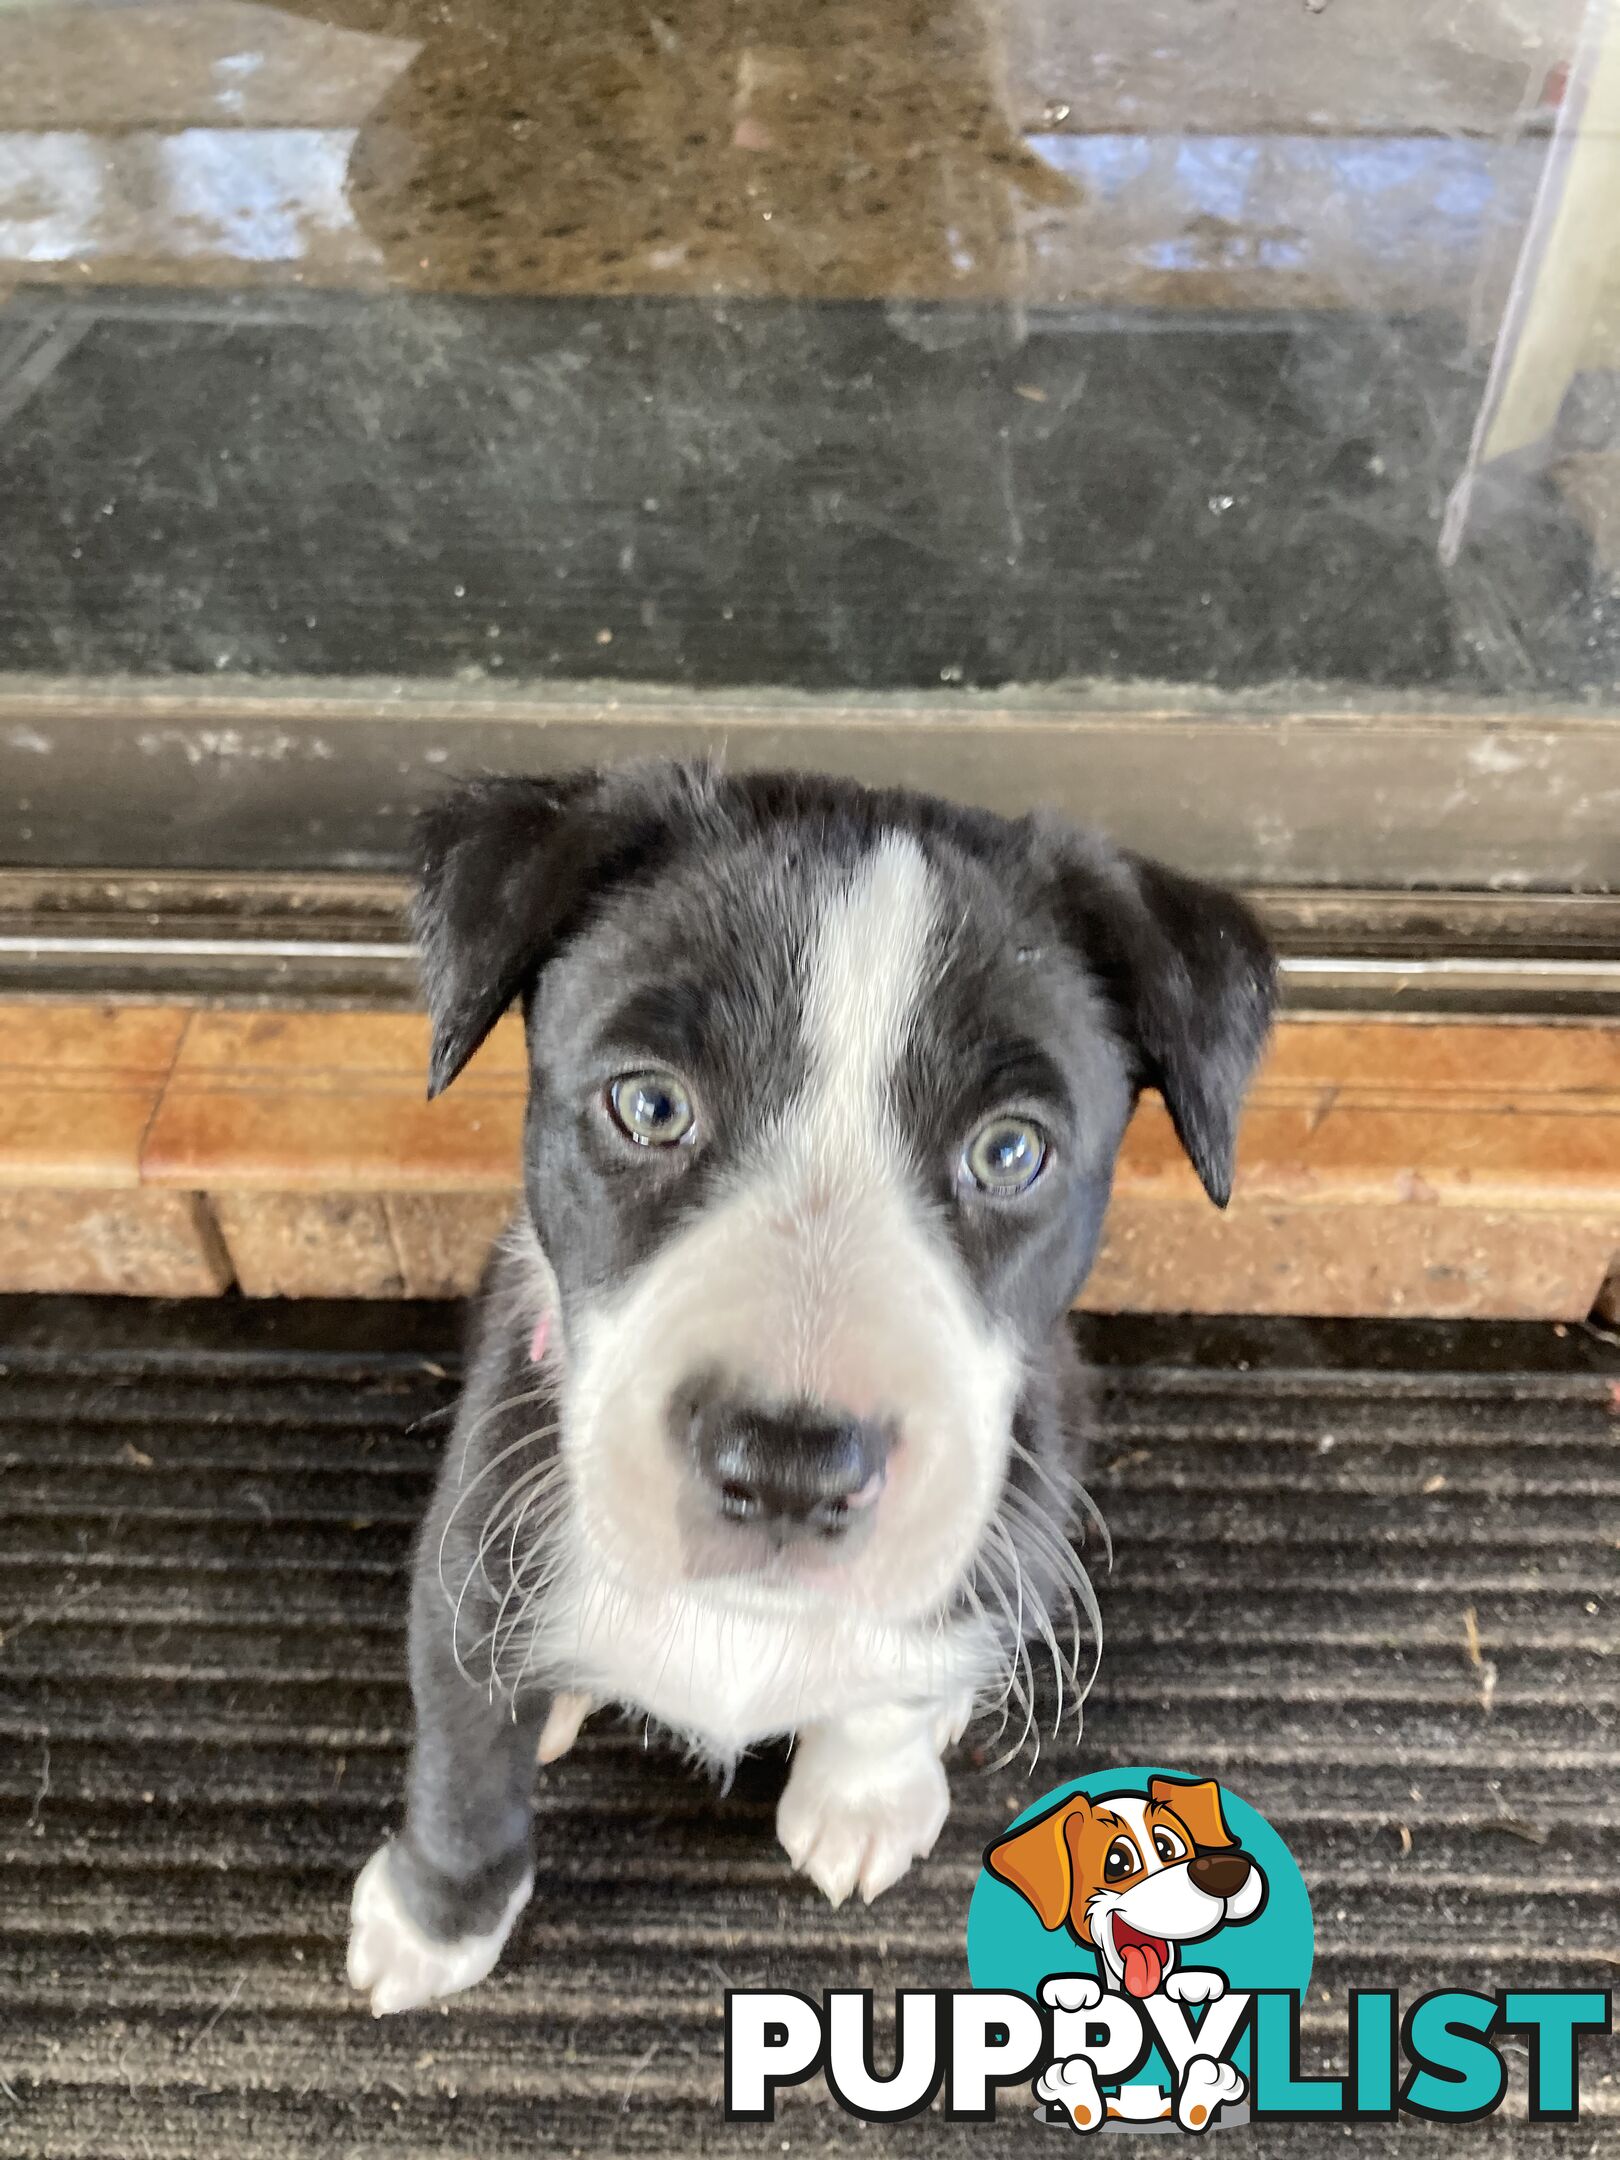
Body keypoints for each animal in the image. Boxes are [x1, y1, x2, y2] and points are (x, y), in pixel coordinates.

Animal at [349, 760, 1278, 2004]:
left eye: (1010, 1153)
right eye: (650, 1105)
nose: (790, 1472)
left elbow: (902, 1671)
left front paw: (865, 1793)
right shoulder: (467, 1560)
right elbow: (463, 1765)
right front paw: (434, 1921)